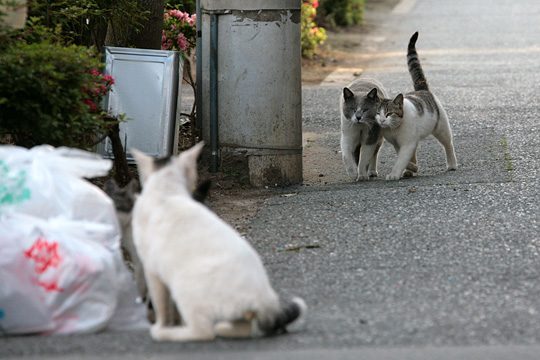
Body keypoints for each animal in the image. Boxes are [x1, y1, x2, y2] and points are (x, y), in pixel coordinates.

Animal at [130, 142, 306, 342]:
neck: (167, 192)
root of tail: (263, 301)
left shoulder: (151, 269)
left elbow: (161, 304)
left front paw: (162, 324)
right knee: (242, 328)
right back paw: (223, 328)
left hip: (185, 286)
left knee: (203, 331)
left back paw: (168, 333)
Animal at [376, 31, 460, 180]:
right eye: (378, 113)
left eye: (388, 113)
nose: (382, 120)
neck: (394, 128)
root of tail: (422, 89)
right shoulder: (398, 144)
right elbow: (405, 158)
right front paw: (412, 167)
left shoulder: (407, 143)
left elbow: (401, 160)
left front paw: (394, 174)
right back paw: (410, 171)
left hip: (441, 128)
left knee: (448, 144)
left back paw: (452, 164)